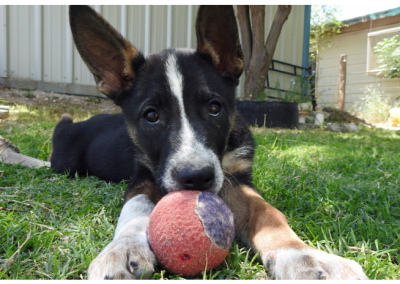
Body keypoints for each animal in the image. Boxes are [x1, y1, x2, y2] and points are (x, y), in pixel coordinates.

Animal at [50, 5, 368, 280]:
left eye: (214, 108)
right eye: (151, 116)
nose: (196, 178)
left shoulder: (236, 178)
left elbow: (268, 213)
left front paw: (303, 257)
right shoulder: (144, 174)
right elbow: (136, 207)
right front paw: (123, 249)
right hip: (65, 166)